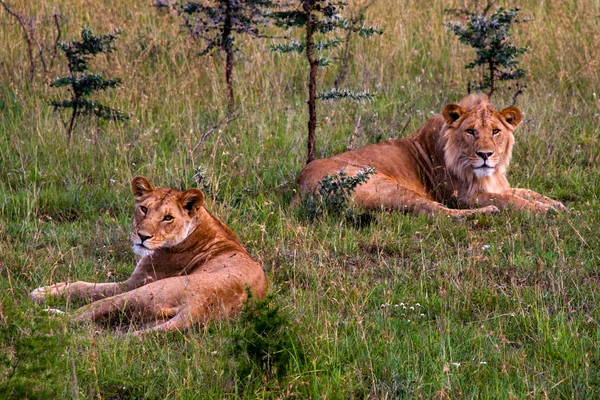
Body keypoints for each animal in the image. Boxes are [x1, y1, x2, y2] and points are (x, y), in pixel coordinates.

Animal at [31, 177, 266, 332]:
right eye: (144, 209)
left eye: (168, 218)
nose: (142, 236)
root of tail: (198, 308)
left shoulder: (134, 282)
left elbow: (87, 287)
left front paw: (46, 291)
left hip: (143, 292)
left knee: (81, 314)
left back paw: (47, 315)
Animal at [298, 94, 564, 217]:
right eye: (471, 131)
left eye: (496, 131)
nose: (485, 154)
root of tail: (299, 192)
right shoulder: (463, 196)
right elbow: (510, 199)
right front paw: (544, 210)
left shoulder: (496, 185)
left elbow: (525, 191)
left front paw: (556, 204)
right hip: (387, 187)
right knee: (439, 213)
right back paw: (488, 211)